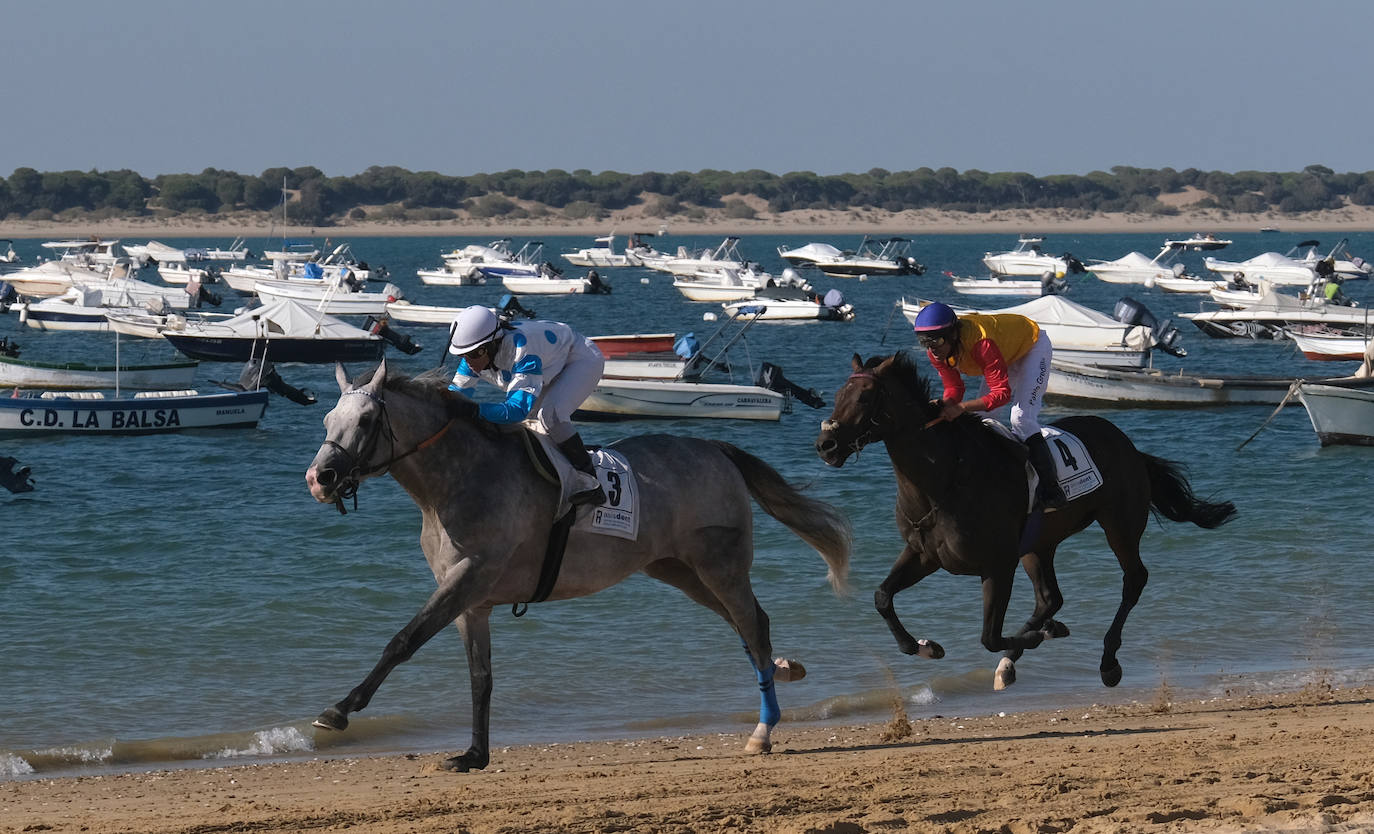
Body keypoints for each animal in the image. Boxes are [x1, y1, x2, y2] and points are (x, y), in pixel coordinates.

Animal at [306, 362, 851, 774]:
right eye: (328, 419)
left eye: (365, 421)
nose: (320, 478)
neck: (459, 480)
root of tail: (716, 449)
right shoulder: (471, 602)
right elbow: (481, 677)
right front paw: (474, 755)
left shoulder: (469, 578)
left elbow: (403, 641)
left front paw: (337, 711)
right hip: (680, 571)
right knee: (750, 625)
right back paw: (783, 670)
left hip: (720, 566)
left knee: (751, 625)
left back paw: (763, 731)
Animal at [807, 351, 1242, 692]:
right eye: (838, 394)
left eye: (865, 396)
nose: (826, 445)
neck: (944, 479)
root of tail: (1129, 445)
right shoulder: (924, 554)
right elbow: (882, 596)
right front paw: (924, 646)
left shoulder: (998, 565)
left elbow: (989, 636)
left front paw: (1036, 636)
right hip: (1038, 543)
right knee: (1050, 597)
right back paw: (1023, 653)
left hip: (1119, 524)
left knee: (1133, 580)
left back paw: (1106, 661)